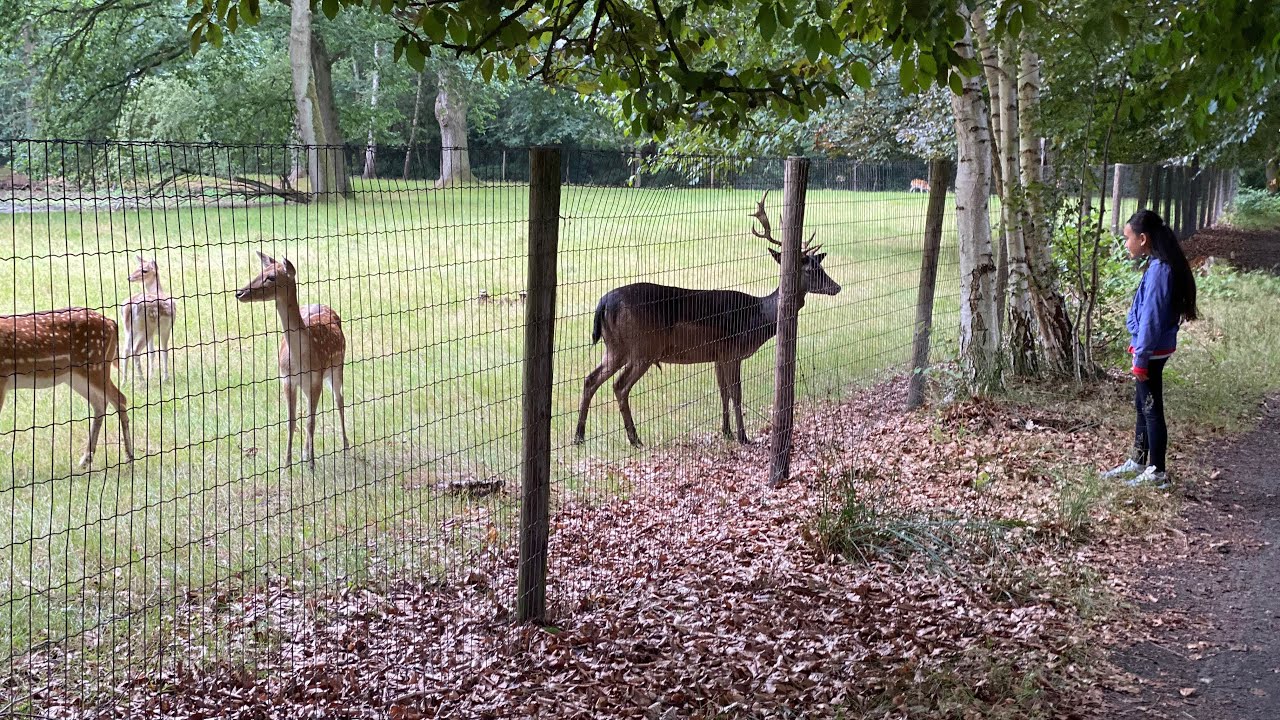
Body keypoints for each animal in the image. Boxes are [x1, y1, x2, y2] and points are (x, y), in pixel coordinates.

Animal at [1, 308, 134, 468]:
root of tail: (111, 323)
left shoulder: (2, 377)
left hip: (96, 366)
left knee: (120, 398)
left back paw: (129, 458)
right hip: (77, 376)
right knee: (101, 403)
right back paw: (85, 460)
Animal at [120, 255, 177, 384]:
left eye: (144, 270)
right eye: (137, 267)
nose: (129, 277)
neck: (158, 292)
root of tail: (130, 307)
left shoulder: (154, 334)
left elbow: (152, 353)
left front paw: (152, 376)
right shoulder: (166, 329)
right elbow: (164, 351)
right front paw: (165, 378)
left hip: (129, 329)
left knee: (125, 350)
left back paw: (124, 381)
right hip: (147, 328)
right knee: (135, 350)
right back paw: (142, 380)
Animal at [235, 251, 349, 470]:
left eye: (271, 277)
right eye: (260, 271)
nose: (239, 293)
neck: (299, 361)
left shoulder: (315, 378)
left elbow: (310, 421)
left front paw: (311, 464)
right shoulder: (287, 379)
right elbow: (291, 421)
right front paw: (287, 464)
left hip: (337, 367)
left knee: (339, 399)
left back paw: (346, 446)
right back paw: (305, 453)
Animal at [574, 191, 842, 448]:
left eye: (820, 265)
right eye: (810, 270)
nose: (837, 287)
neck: (757, 317)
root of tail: (603, 303)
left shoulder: (717, 355)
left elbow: (723, 392)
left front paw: (727, 432)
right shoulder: (732, 351)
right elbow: (736, 394)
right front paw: (743, 436)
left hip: (615, 347)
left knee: (590, 379)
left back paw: (579, 437)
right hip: (643, 348)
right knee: (619, 385)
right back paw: (634, 439)